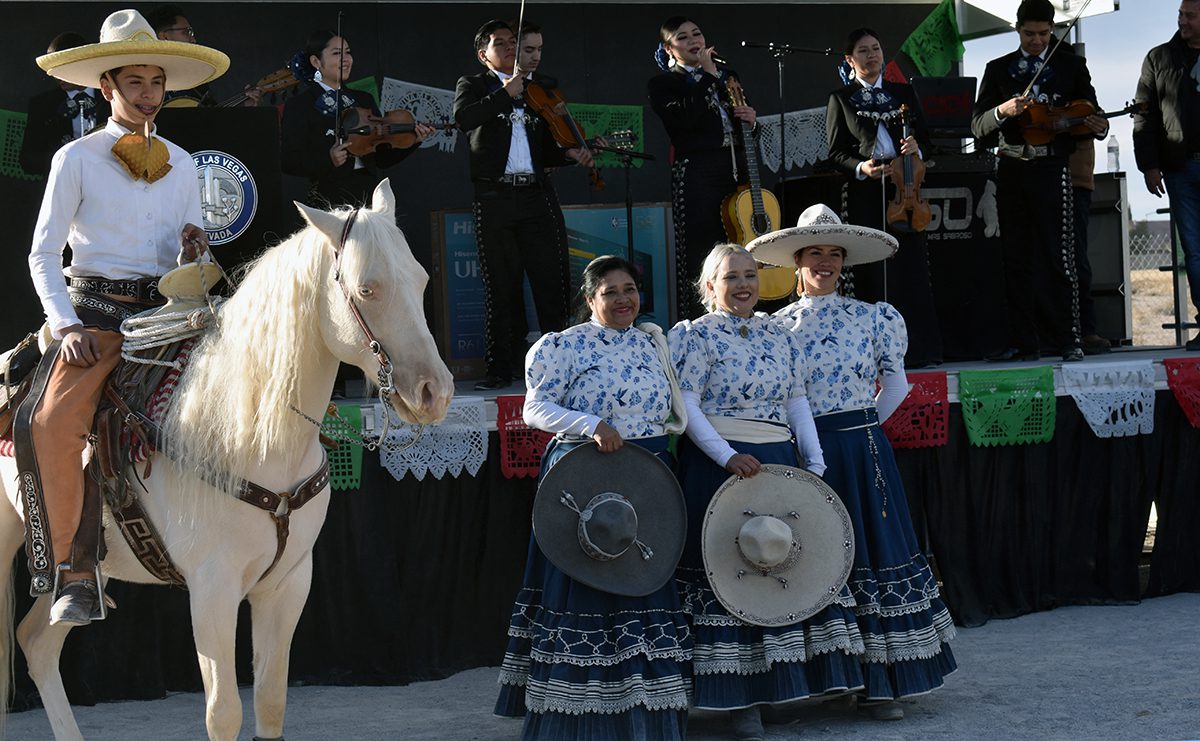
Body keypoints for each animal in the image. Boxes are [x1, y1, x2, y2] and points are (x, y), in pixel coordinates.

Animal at [0, 179, 451, 738]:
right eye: (368, 289)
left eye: (422, 279)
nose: (434, 391)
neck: (252, 433)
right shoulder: (211, 590)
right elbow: (224, 711)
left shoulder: (287, 585)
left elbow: (271, 701)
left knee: (37, 643)